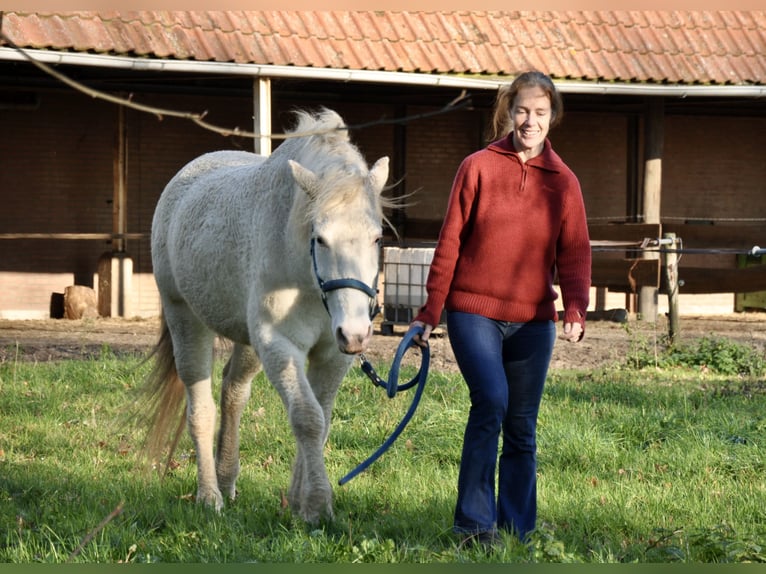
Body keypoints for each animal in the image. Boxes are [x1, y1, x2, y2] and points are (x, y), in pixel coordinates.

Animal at [140, 109, 390, 528]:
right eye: (320, 238)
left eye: (377, 238)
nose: (356, 333)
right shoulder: (279, 344)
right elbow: (307, 418)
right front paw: (318, 505)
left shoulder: (332, 354)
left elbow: (321, 419)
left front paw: (300, 502)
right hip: (185, 319)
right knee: (201, 408)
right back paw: (209, 496)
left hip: (247, 342)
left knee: (233, 393)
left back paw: (226, 479)